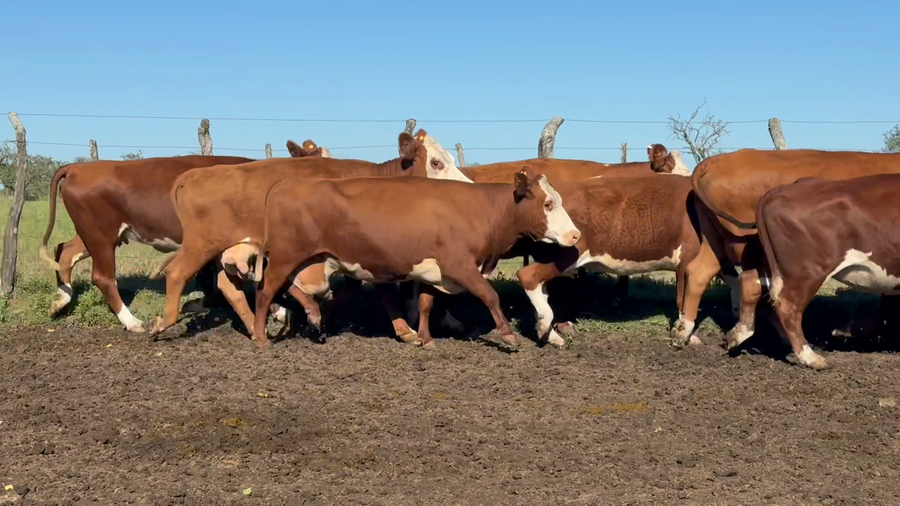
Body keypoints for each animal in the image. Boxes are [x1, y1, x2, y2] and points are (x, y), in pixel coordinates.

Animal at [37, 141, 331, 331]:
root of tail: (79, 168)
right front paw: (283, 311)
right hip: (100, 235)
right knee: (102, 277)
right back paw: (132, 322)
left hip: (95, 235)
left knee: (65, 251)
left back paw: (60, 301)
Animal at [147, 131, 474, 340]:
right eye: (435, 162)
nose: (468, 188)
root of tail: (192, 176)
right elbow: (375, 290)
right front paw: (404, 330)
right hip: (201, 246)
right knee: (178, 273)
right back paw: (164, 323)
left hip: (223, 250)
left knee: (229, 287)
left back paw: (256, 327)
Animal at [242, 166, 581, 350]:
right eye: (548, 204)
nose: (576, 236)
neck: (481, 210)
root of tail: (285, 183)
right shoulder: (460, 265)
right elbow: (489, 295)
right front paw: (508, 336)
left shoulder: (436, 271)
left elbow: (427, 303)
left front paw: (425, 338)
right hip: (288, 254)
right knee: (266, 290)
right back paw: (260, 337)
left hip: (307, 257)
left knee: (287, 286)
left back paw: (314, 314)